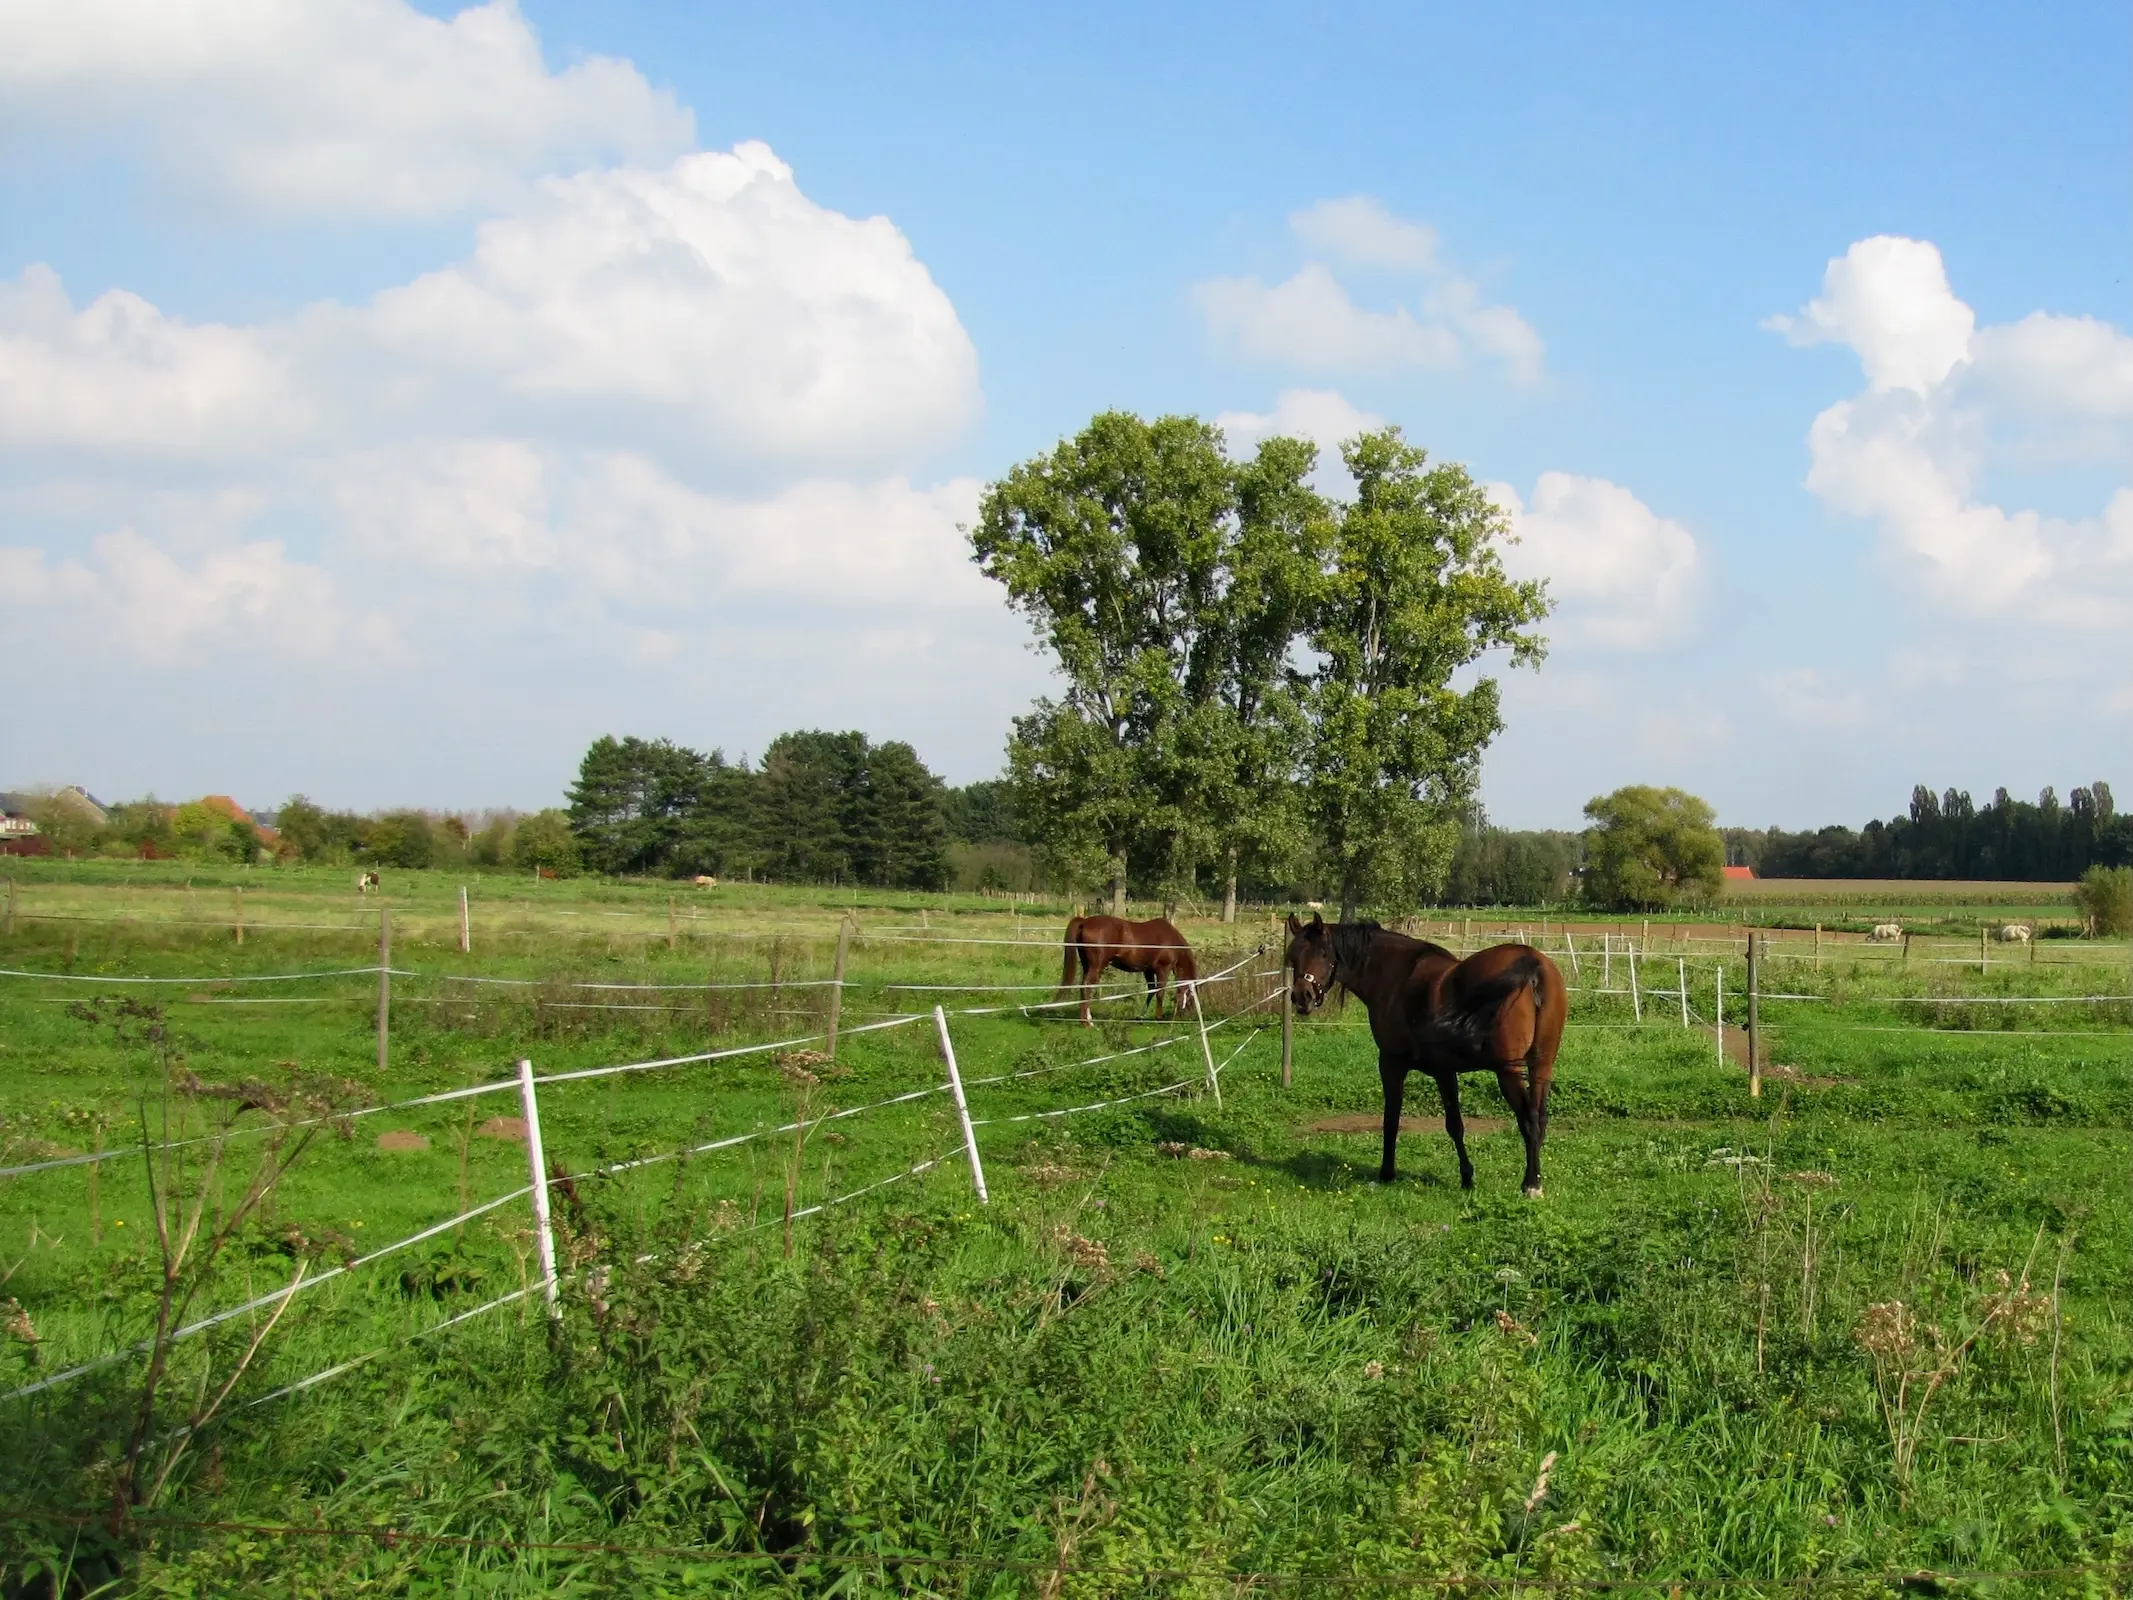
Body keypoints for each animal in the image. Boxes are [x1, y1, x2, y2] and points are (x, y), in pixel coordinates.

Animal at [1058, 915, 1199, 1026]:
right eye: (1190, 995)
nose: (1188, 1016)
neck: (1170, 940)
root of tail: (1084, 922)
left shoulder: (1148, 970)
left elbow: (1151, 991)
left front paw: (1141, 1017)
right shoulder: (1163, 969)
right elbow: (1160, 992)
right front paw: (1158, 1018)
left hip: (1088, 966)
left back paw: (1088, 1019)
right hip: (1096, 967)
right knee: (1086, 986)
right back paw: (1086, 1023)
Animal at [1284, 912, 1568, 1199]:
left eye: (1323, 953)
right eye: (1293, 957)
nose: (1301, 997)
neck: (1397, 977)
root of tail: (1533, 963)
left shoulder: (1392, 1064)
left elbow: (1392, 1120)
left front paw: (1386, 1174)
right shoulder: (1445, 1072)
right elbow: (1455, 1125)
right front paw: (1467, 1177)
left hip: (1507, 1072)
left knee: (1529, 1120)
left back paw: (1531, 1185)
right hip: (1542, 1066)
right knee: (1540, 1118)